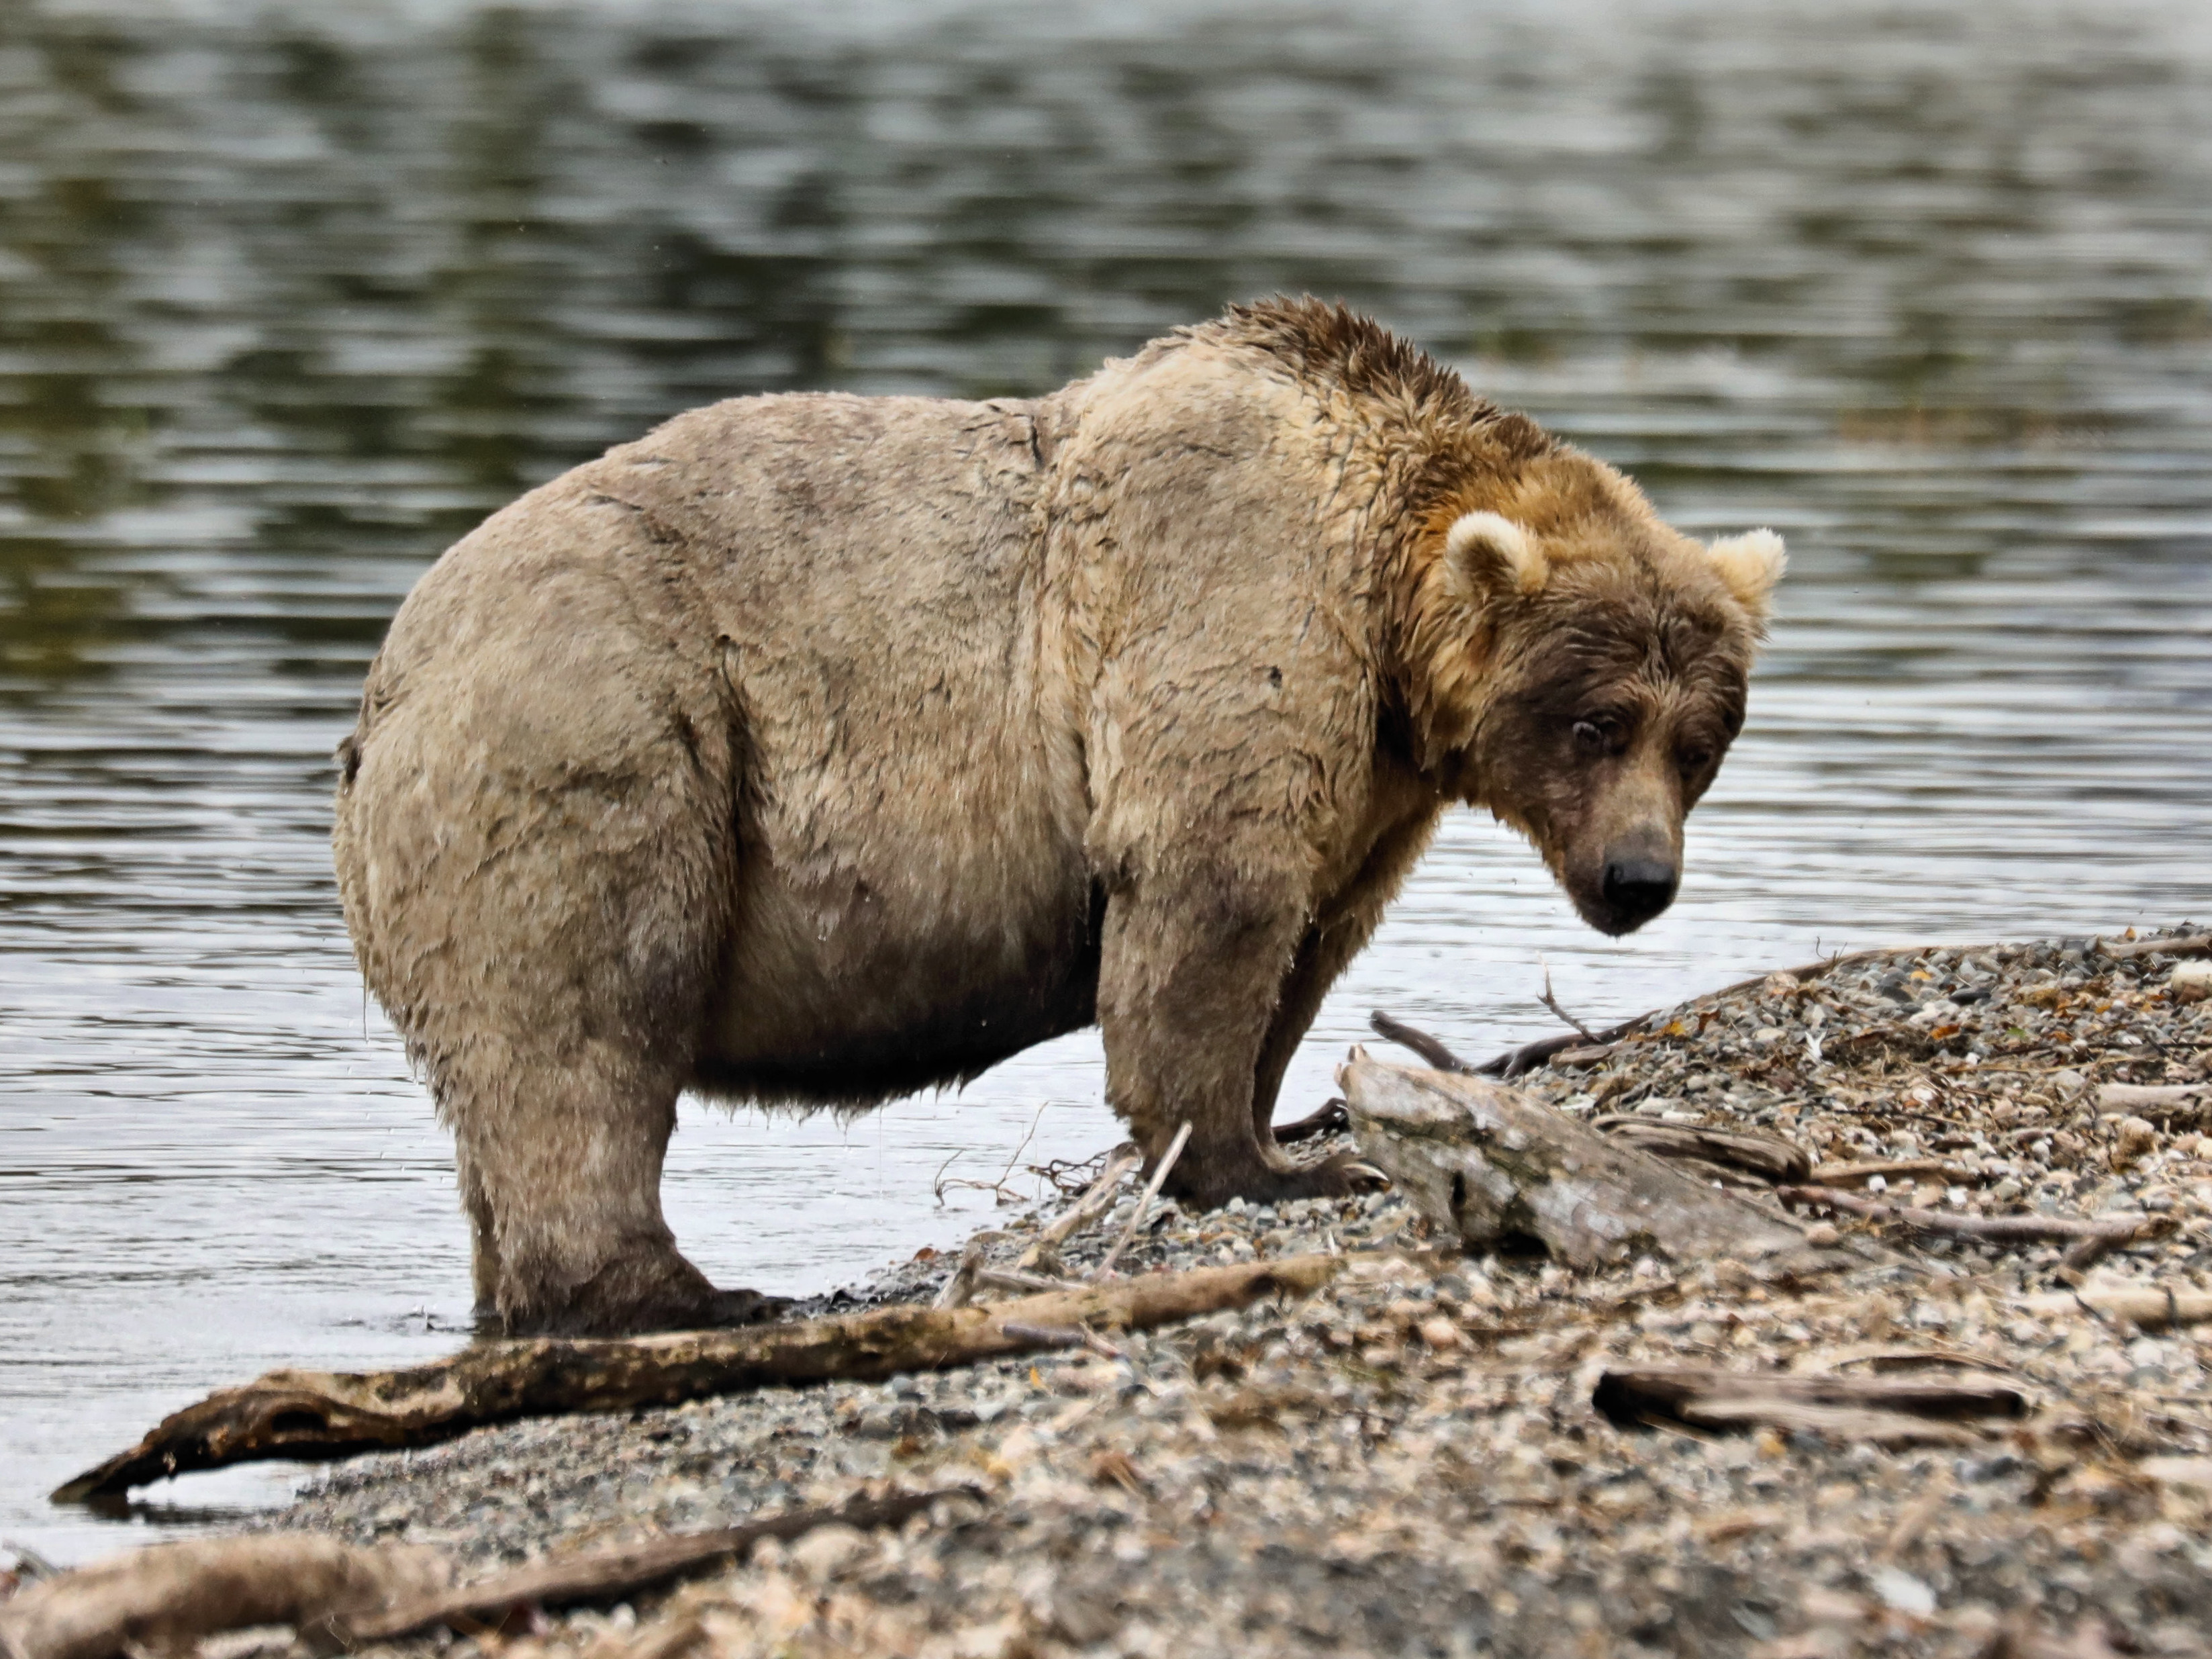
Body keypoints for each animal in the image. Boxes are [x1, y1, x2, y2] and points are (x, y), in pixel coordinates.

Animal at [332, 298, 1783, 1337]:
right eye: (1595, 721)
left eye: (1700, 738)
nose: (1639, 876)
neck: (1385, 619)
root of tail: (384, 685)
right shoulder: (1231, 598)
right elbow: (1211, 892)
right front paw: (1259, 1161)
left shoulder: (1373, 784)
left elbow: (1308, 938)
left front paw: (1280, 1126)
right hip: (604, 733)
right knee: (588, 1020)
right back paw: (681, 1292)